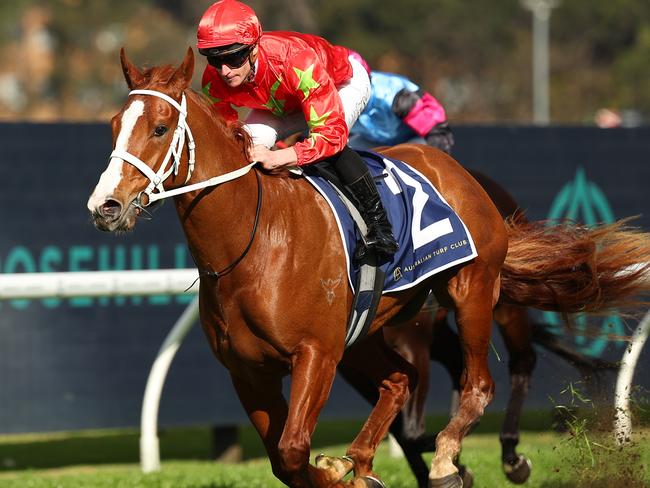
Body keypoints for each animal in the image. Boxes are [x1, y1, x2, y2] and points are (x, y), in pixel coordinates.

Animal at [87, 46, 648, 488]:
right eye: (114, 127)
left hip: (472, 290)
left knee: (482, 382)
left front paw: (344, 472)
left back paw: (453, 462)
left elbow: (293, 450)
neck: (253, 246)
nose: (105, 206)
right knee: (399, 381)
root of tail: (458, 173)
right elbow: (284, 461)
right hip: (368, 336)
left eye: (160, 128)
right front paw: (347, 470)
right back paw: (367, 460)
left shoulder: (315, 353)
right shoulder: (249, 370)